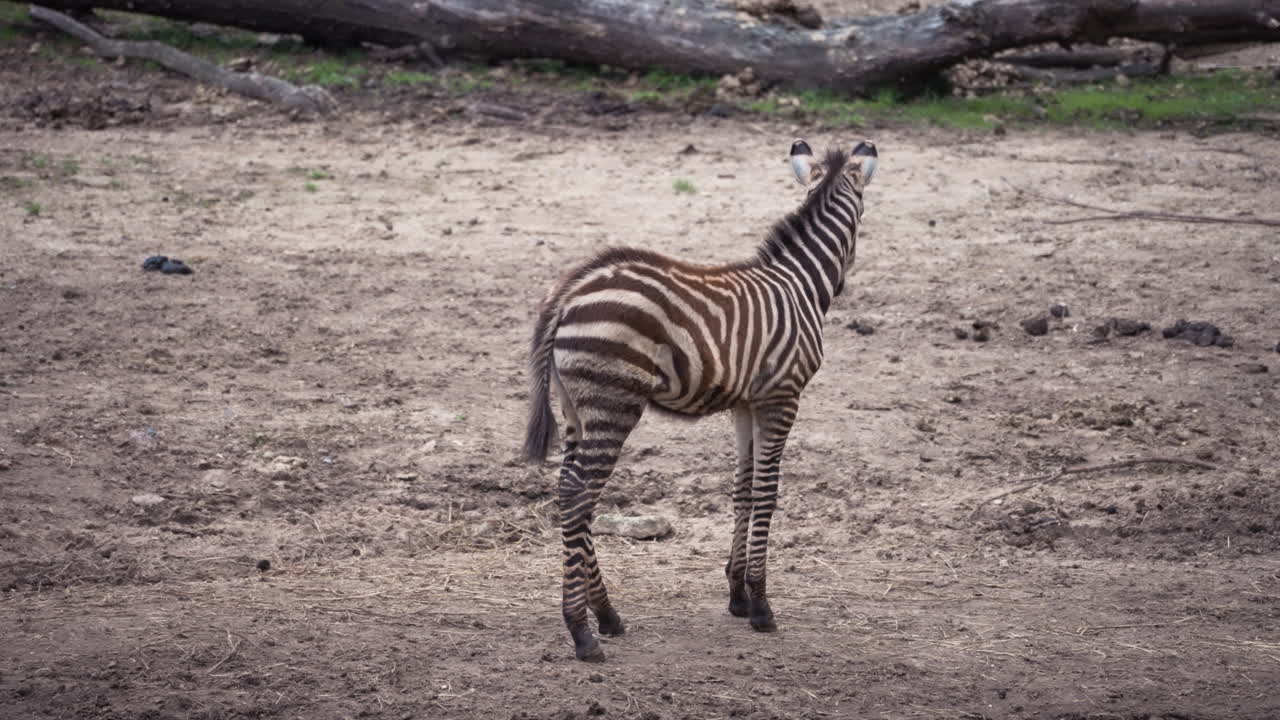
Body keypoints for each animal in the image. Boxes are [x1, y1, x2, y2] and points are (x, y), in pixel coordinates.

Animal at [522, 138, 878, 662]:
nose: (844, 284)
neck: (799, 282)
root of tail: (568, 293)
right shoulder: (782, 396)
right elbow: (767, 492)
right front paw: (761, 606)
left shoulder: (746, 402)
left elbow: (742, 489)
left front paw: (737, 595)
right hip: (613, 404)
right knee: (578, 493)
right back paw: (582, 632)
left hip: (575, 407)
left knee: (570, 489)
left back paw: (607, 615)